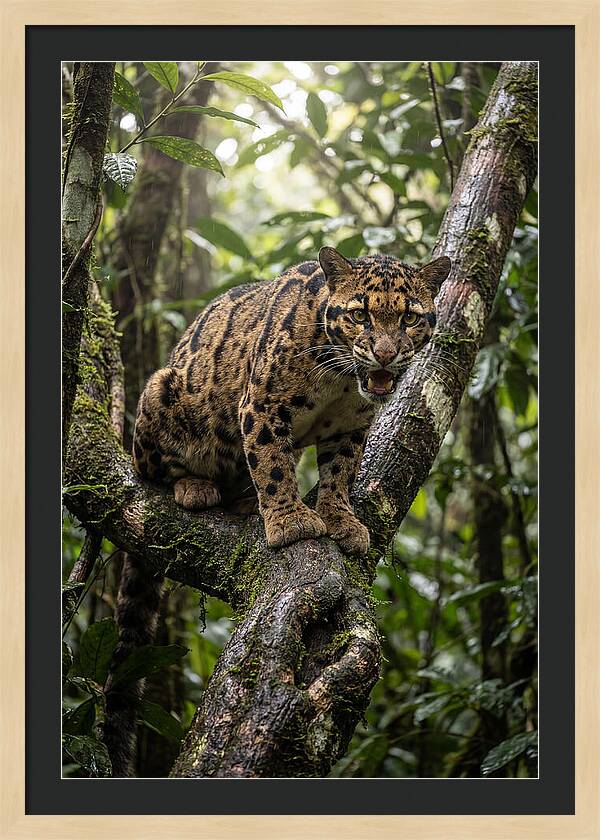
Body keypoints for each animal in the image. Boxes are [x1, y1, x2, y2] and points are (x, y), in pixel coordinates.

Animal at [132, 246, 451, 556]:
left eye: (409, 318)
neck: (340, 379)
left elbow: (341, 472)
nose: (385, 354)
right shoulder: (262, 405)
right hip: (160, 388)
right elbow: (272, 465)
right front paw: (290, 521)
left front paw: (341, 518)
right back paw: (195, 486)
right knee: (155, 471)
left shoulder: (351, 425)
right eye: (360, 316)